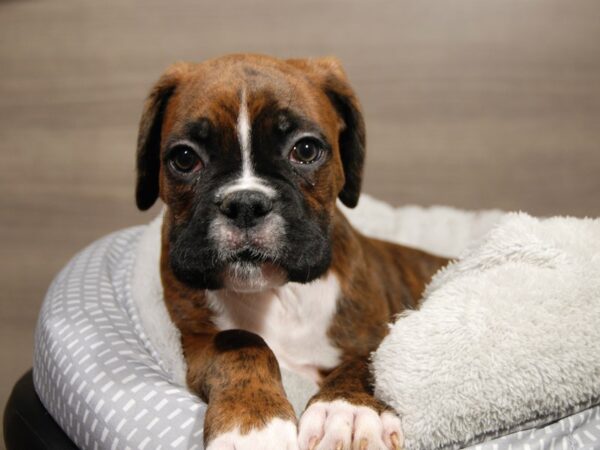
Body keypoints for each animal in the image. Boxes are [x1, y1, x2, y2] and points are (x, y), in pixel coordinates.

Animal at [135, 54, 446, 448]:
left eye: (306, 150)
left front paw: (348, 411)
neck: (279, 295)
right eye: (185, 158)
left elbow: (365, 361)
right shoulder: (195, 340)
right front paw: (251, 421)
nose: (246, 203)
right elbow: (241, 342)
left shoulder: (379, 334)